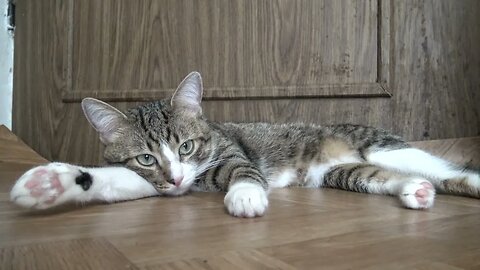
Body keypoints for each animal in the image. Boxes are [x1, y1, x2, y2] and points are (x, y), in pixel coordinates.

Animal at [8, 71, 480, 217]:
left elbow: (243, 169)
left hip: (384, 145)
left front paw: (246, 195)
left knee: (451, 172)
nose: (175, 177)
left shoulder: (232, 150)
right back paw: (415, 191)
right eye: (146, 157)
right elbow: (116, 181)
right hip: (341, 172)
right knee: (392, 177)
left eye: (186, 147)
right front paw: (52, 183)